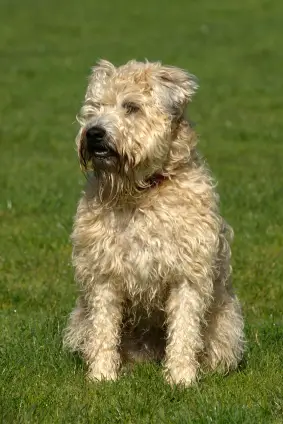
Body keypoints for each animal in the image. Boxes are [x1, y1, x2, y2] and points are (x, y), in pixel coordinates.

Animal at [63, 59, 245, 388]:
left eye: (132, 107)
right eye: (95, 107)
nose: (94, 133)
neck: (141, 192)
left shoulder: (187, 274)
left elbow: (184, 330)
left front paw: (181, 378)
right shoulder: (104, 273)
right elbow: (104, 329)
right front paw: (102, 376)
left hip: (226, 324)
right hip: (79, 318)